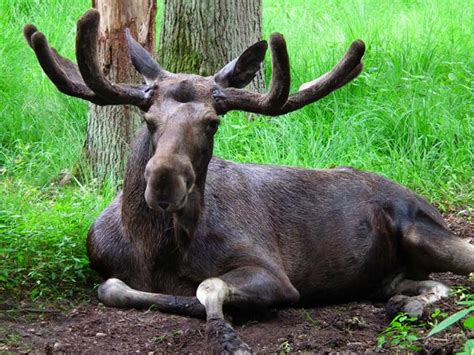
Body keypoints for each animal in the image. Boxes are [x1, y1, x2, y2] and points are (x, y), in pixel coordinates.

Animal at [24, 9, 472, 354]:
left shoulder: (273, 273)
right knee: (431, 283)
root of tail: (426, 202)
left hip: (426, 232)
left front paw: (228, 336)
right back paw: (408, 303)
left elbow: (206, 287)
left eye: (212, 122)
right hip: (392, 271)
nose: (165, 184)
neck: (152, 248)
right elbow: (114, 288)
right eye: (148, 119)